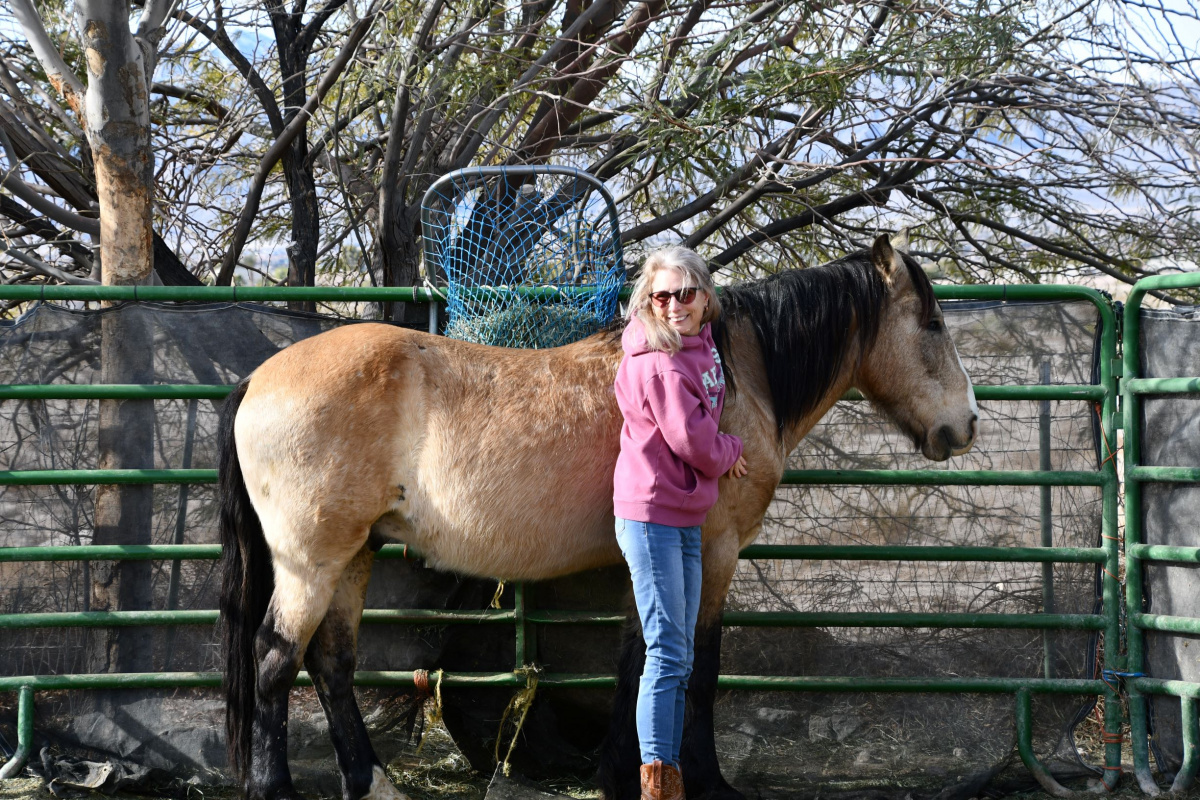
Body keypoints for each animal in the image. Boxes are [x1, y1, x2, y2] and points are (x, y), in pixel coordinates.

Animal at [220, 236, 979, 800]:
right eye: (933, 323)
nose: (966, 423)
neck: (736, 379)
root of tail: (259, 378)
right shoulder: (716, 550)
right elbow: (699, 664)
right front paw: (707, 781)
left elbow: (638, 657)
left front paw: (626, 771)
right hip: (310, 560)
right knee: (275, 658)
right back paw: (276, 788)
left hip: (353, 554)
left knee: (332, 662)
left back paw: (370, 780)